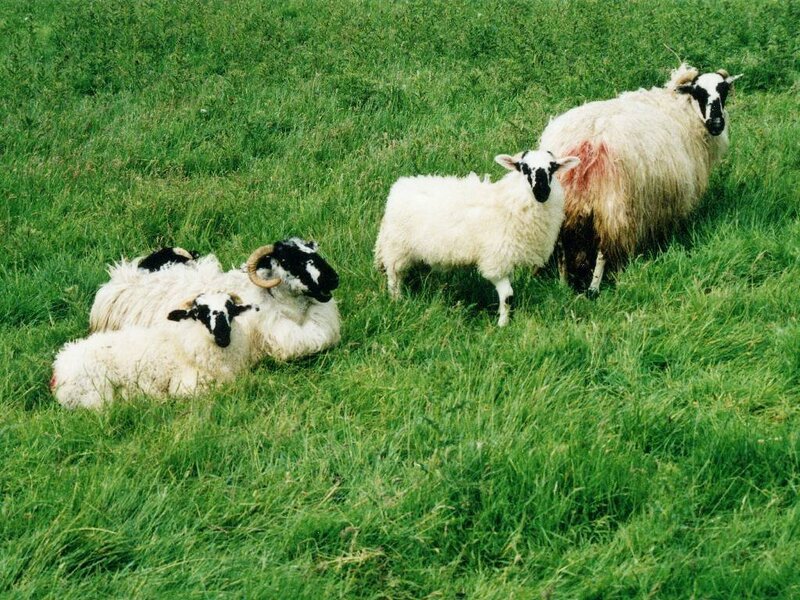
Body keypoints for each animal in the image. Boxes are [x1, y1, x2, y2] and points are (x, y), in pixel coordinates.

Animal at [51, 292, 254, 409]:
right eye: (198, 313)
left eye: (231, 309)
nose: (222, 335)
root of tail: (59, 368)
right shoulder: (186, 385)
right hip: (96, 394)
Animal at [374, 150, 580, 326]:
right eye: (524, 167)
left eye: (552, 167)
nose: (542, 192)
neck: (511, 202)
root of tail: (400, 187)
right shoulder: (496, 260)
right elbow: (507, 296)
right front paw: (503, 325)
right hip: (397, 250)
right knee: (394, 279)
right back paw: (397, 301)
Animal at [538, 63, 743, 297]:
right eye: (699, 93)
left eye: (724, 91)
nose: (717, 123)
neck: (682, 109)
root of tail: (586, 145)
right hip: (613, 206)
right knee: (604, 248)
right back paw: (593, 288)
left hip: (562, 204)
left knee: (561, 242)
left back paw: (563, 285)